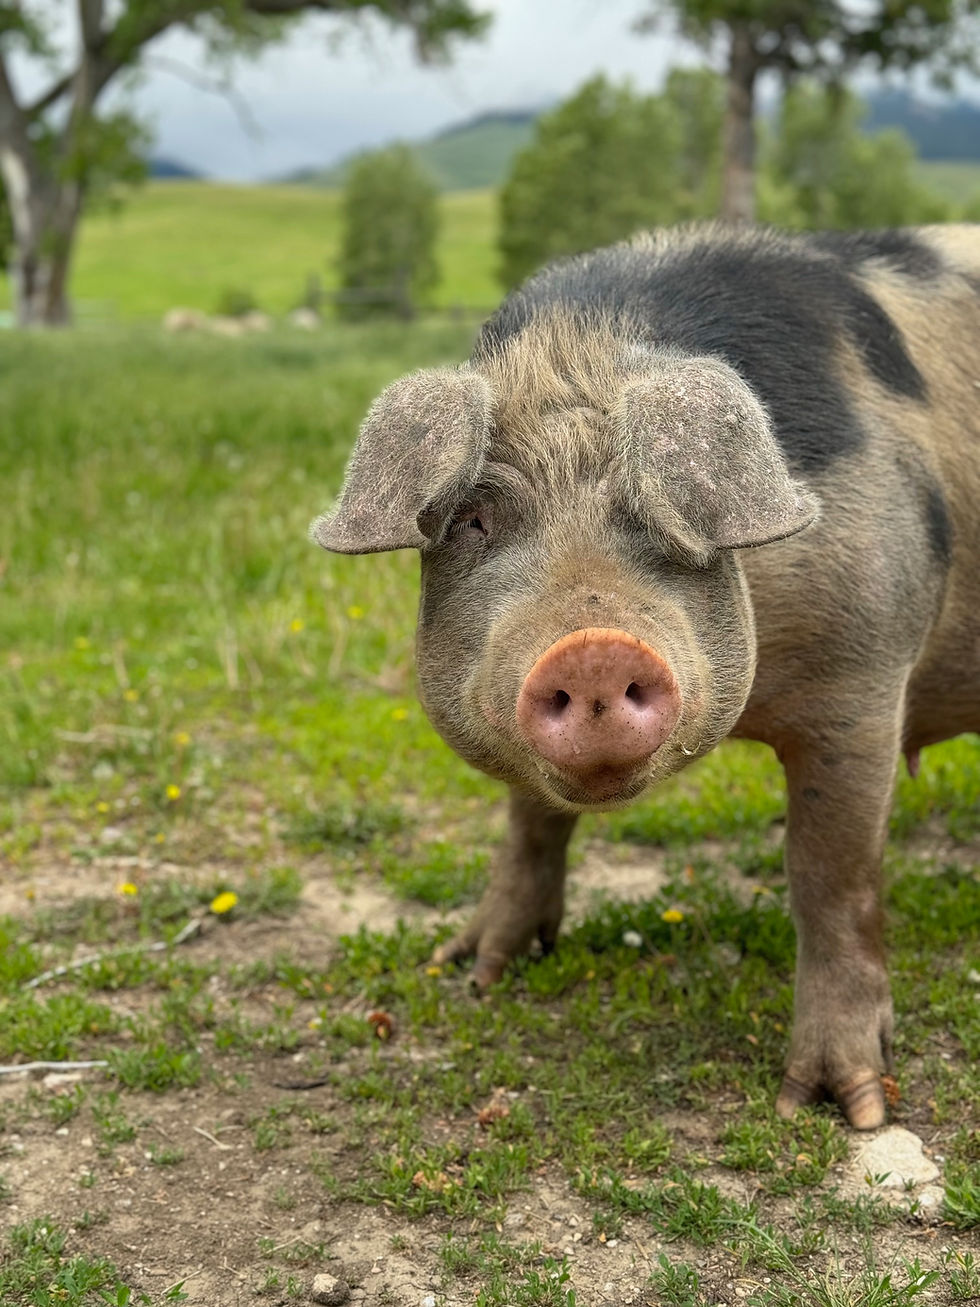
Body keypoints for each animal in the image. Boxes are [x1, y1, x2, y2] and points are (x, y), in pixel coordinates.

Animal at [311, 223, 980, 1129]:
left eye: (660, 510)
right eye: (474, 519)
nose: (592, 646)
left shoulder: (866, 673)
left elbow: (830, 873)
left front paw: (840, 1108)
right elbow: (530, 822)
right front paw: (473, 971)